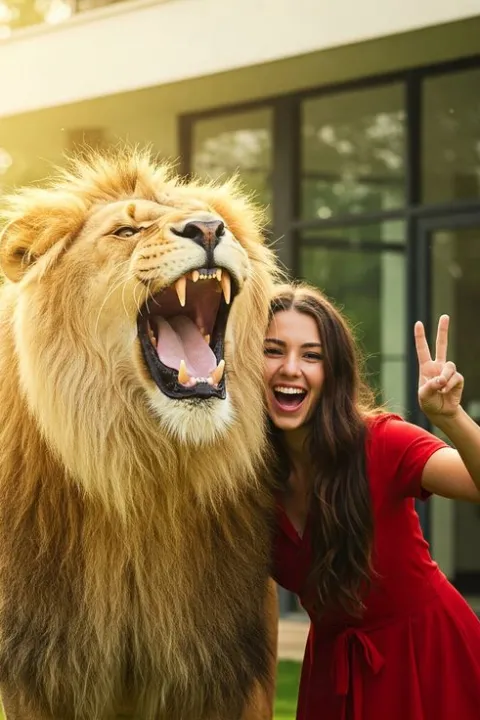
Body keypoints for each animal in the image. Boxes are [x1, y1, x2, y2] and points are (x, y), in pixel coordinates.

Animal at [0, 149, 279, 720]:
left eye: (216, 220)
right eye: (126, 230)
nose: (208, 228)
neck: (140, 476)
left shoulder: (226, 664)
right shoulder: (29, 666)